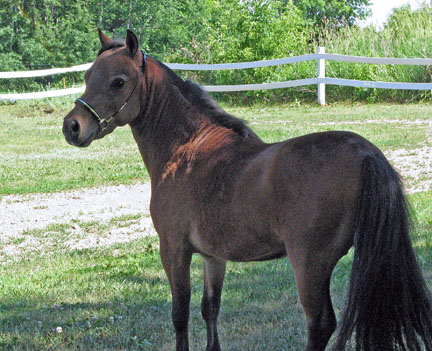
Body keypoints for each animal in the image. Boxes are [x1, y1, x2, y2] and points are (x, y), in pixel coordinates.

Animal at [61, 30, 432, 351]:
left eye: (118, 82)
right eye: (87, 76)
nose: (72, 126)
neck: (188, 149)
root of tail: (365, 153)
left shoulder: (174, 250)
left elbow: (180, 314)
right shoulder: (213, 256)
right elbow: (210, 308)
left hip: (309, 264)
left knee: (320, 323)